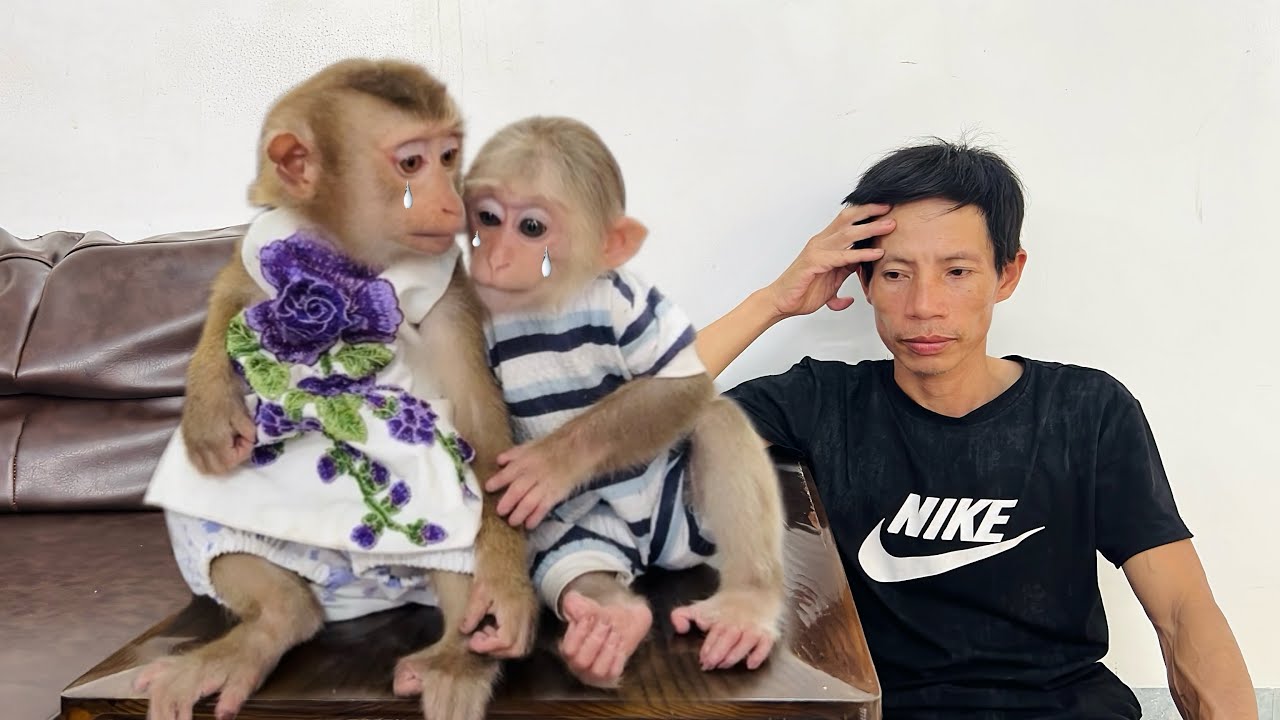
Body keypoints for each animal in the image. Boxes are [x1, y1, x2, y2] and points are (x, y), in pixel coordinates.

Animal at [136, 58, 537, 720]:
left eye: (448, 155)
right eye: (412, 163)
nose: (452, 198)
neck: (353, 264)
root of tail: (364, 593)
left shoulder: (449, 297)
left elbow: (478, 421)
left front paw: (504, 595)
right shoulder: (266, 242)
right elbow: (233, 293)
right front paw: (210, 406)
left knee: (462, 492)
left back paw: (459, 654)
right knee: (202, 514)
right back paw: (271, 623)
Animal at [461, 116, 787, 689]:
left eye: (531, 228)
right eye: (488, 218)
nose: (493, 255)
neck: (550, 308)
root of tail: (655, 552)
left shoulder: (630, 302)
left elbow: (679, 387)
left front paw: (549, 465)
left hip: (689, 519)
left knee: (716, 421)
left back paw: (746, 605)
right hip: (587, 529)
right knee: (576, 556)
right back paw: (609, 620)